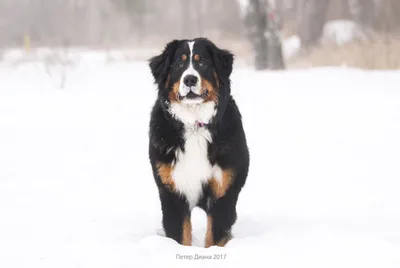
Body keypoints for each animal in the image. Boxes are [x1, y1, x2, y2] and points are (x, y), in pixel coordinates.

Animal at [148, 37, 248, 247]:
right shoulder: (173, 193)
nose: (190, 79)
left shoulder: (223, 191)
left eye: (202, 63)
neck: (195, 124)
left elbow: (215, 236)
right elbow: (180, 235)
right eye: (179, 64)